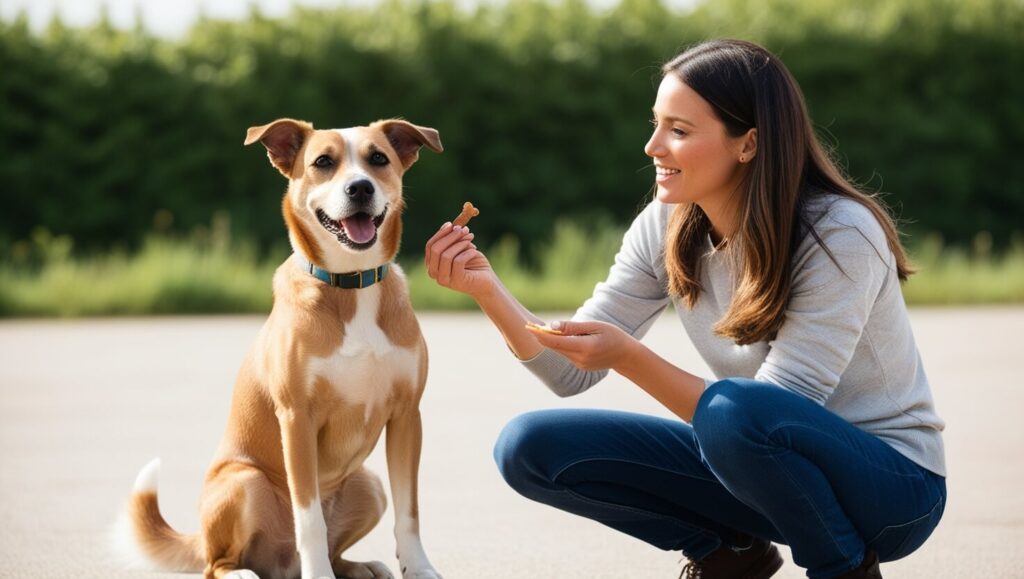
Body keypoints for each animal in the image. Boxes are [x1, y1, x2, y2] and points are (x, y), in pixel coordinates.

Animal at [116, 118, 444, 577]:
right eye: (323, 162)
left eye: (378, 158)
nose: (360, 188)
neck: (350, 285)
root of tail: (280, 565)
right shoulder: (297, 418)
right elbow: (309, 518)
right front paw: (318, 575)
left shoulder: (406, 416)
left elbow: (409, 512)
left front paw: (419, 568)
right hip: (245, 483)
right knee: (216, 563)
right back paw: (244, 571)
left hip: (369, 483)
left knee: (338, 544)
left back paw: (358, 566)